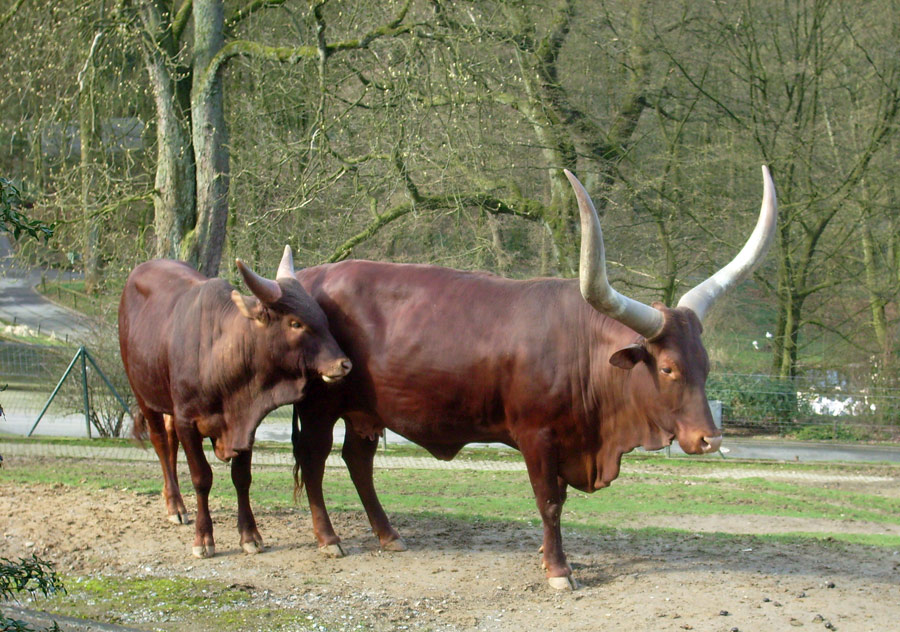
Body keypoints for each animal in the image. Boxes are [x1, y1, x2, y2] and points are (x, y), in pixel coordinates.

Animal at [121, 247, 354, 556]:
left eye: (323, 318)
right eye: (295, 323)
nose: (343, 364)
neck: (217, 354)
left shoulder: (246, 422)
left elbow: (242, 478)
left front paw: (250, 535)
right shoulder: (187, 422)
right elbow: (201, 478)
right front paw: (204, 539)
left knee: (169, 443)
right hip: (144, 395)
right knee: (160, 442)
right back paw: (175, 506)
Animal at [292, 164, 776, 588]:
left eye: (706, 364)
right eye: (667, 367)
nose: (709, 439)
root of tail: (305, 279)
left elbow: (557, 500)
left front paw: (548, 555)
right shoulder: (537, 436)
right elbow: (550, 502)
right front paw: (559, 570)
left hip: (364, 412)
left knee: (358, 461)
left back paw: (389, 535)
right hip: (318, 406)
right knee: (315, 460)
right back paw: (329, 539)